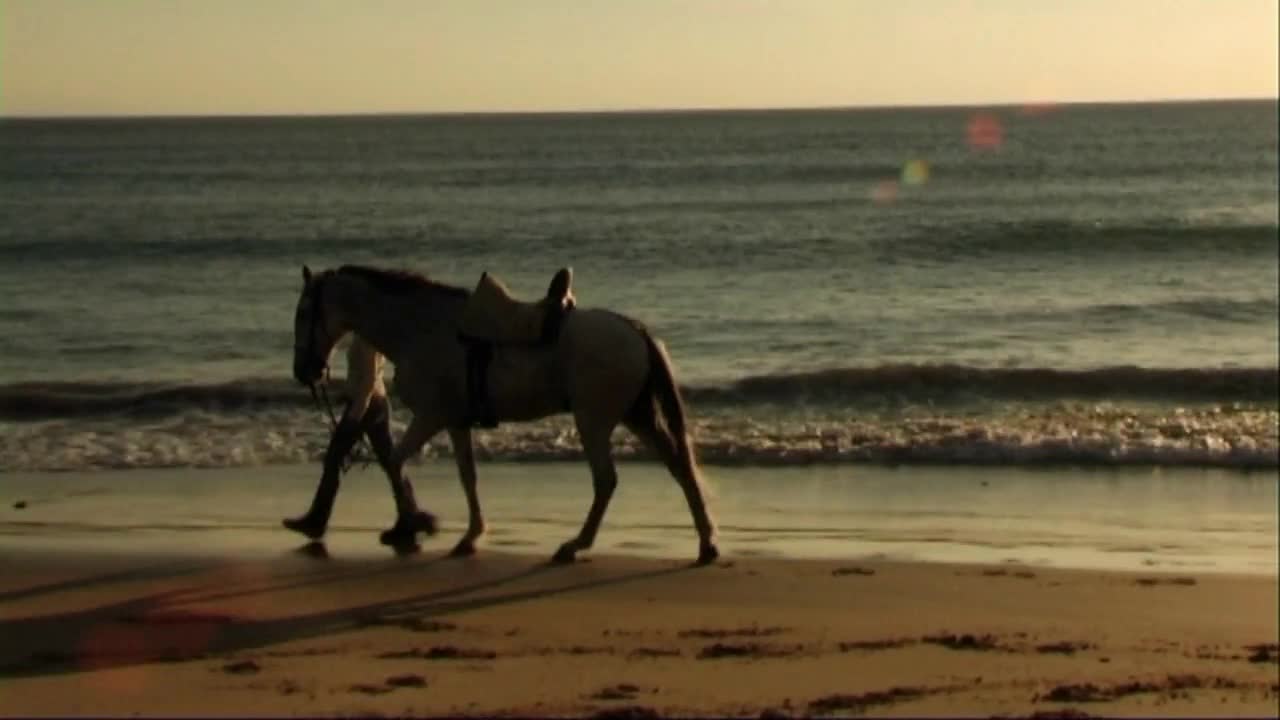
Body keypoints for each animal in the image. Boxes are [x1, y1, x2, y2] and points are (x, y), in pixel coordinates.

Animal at [293, 265, 727, 566]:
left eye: (303, 313)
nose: (304, 372)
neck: (422, 329)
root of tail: (634, 330)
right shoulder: (455, 422)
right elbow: (467, 477)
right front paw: (468, 536)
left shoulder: (431, 416)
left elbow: (395, 463)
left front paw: (412, 524)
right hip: (637, 416)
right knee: (679, 467)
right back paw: (706, 544)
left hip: (594, 420)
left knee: (607, 480)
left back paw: (574, 545)